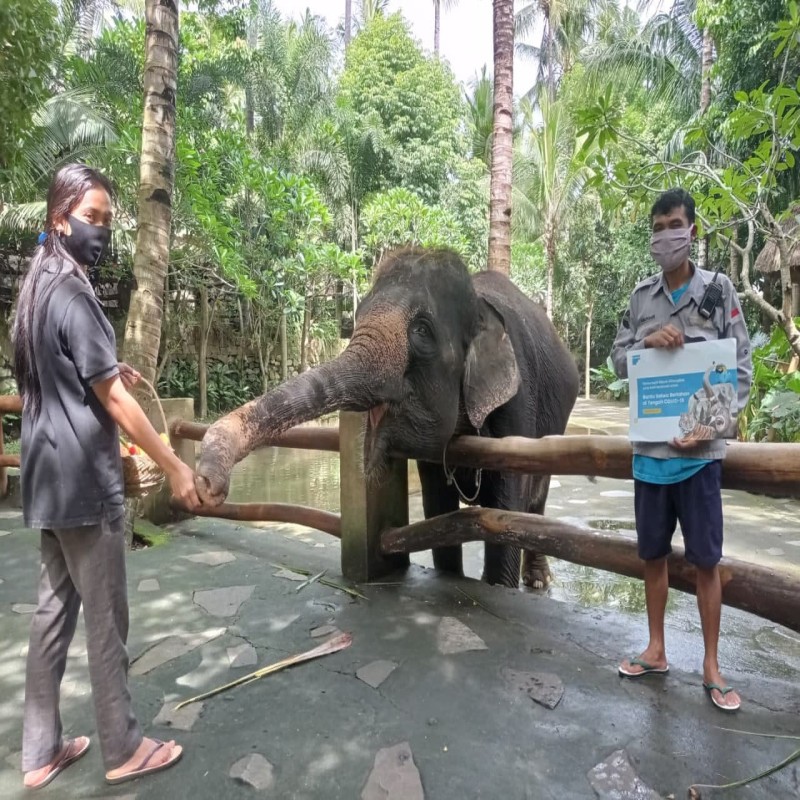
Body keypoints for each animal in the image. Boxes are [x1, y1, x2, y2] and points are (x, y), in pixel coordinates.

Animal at [196, 247, 580, 592]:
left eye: (422, 331)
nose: (207, 487)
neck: (479, 304)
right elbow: (438, 510)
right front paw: (452, 577)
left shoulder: (518, 404)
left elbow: (504, 512)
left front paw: (496, 587)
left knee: (537, 497)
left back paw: (537, 581)